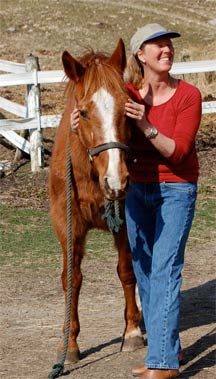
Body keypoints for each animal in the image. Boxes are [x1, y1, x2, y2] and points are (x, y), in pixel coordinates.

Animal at [48, 37, 143, 366]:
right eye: (84, 113)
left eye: (127, 110)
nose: (116, 180)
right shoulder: (67, 224)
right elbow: (71, 278)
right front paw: (70, 345)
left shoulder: (124, 221)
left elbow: (127, 271)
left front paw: (132, 332)